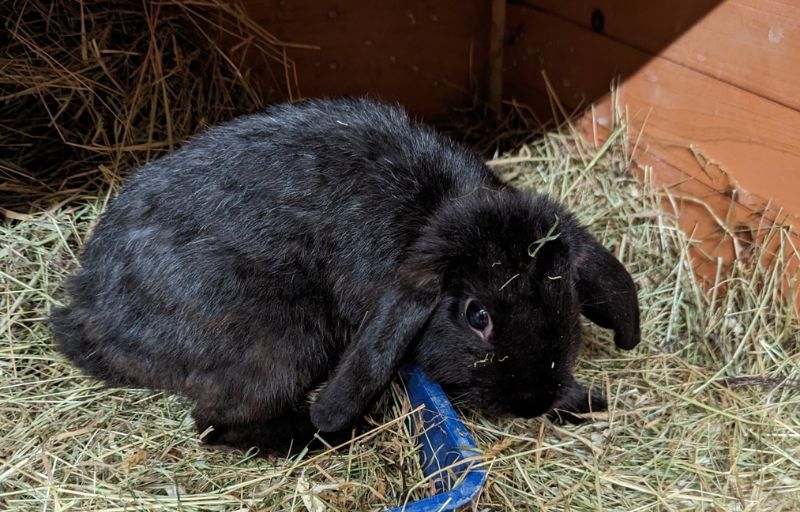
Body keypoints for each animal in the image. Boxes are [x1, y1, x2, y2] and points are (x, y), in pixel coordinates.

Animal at [51, 98, 640, 455]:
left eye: (566, 302)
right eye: (478, 316)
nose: (533, 401)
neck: (433, 212)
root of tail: (86, 316)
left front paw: (585, 402)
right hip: (284, 339)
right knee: (218, 422)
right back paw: (326, 435)